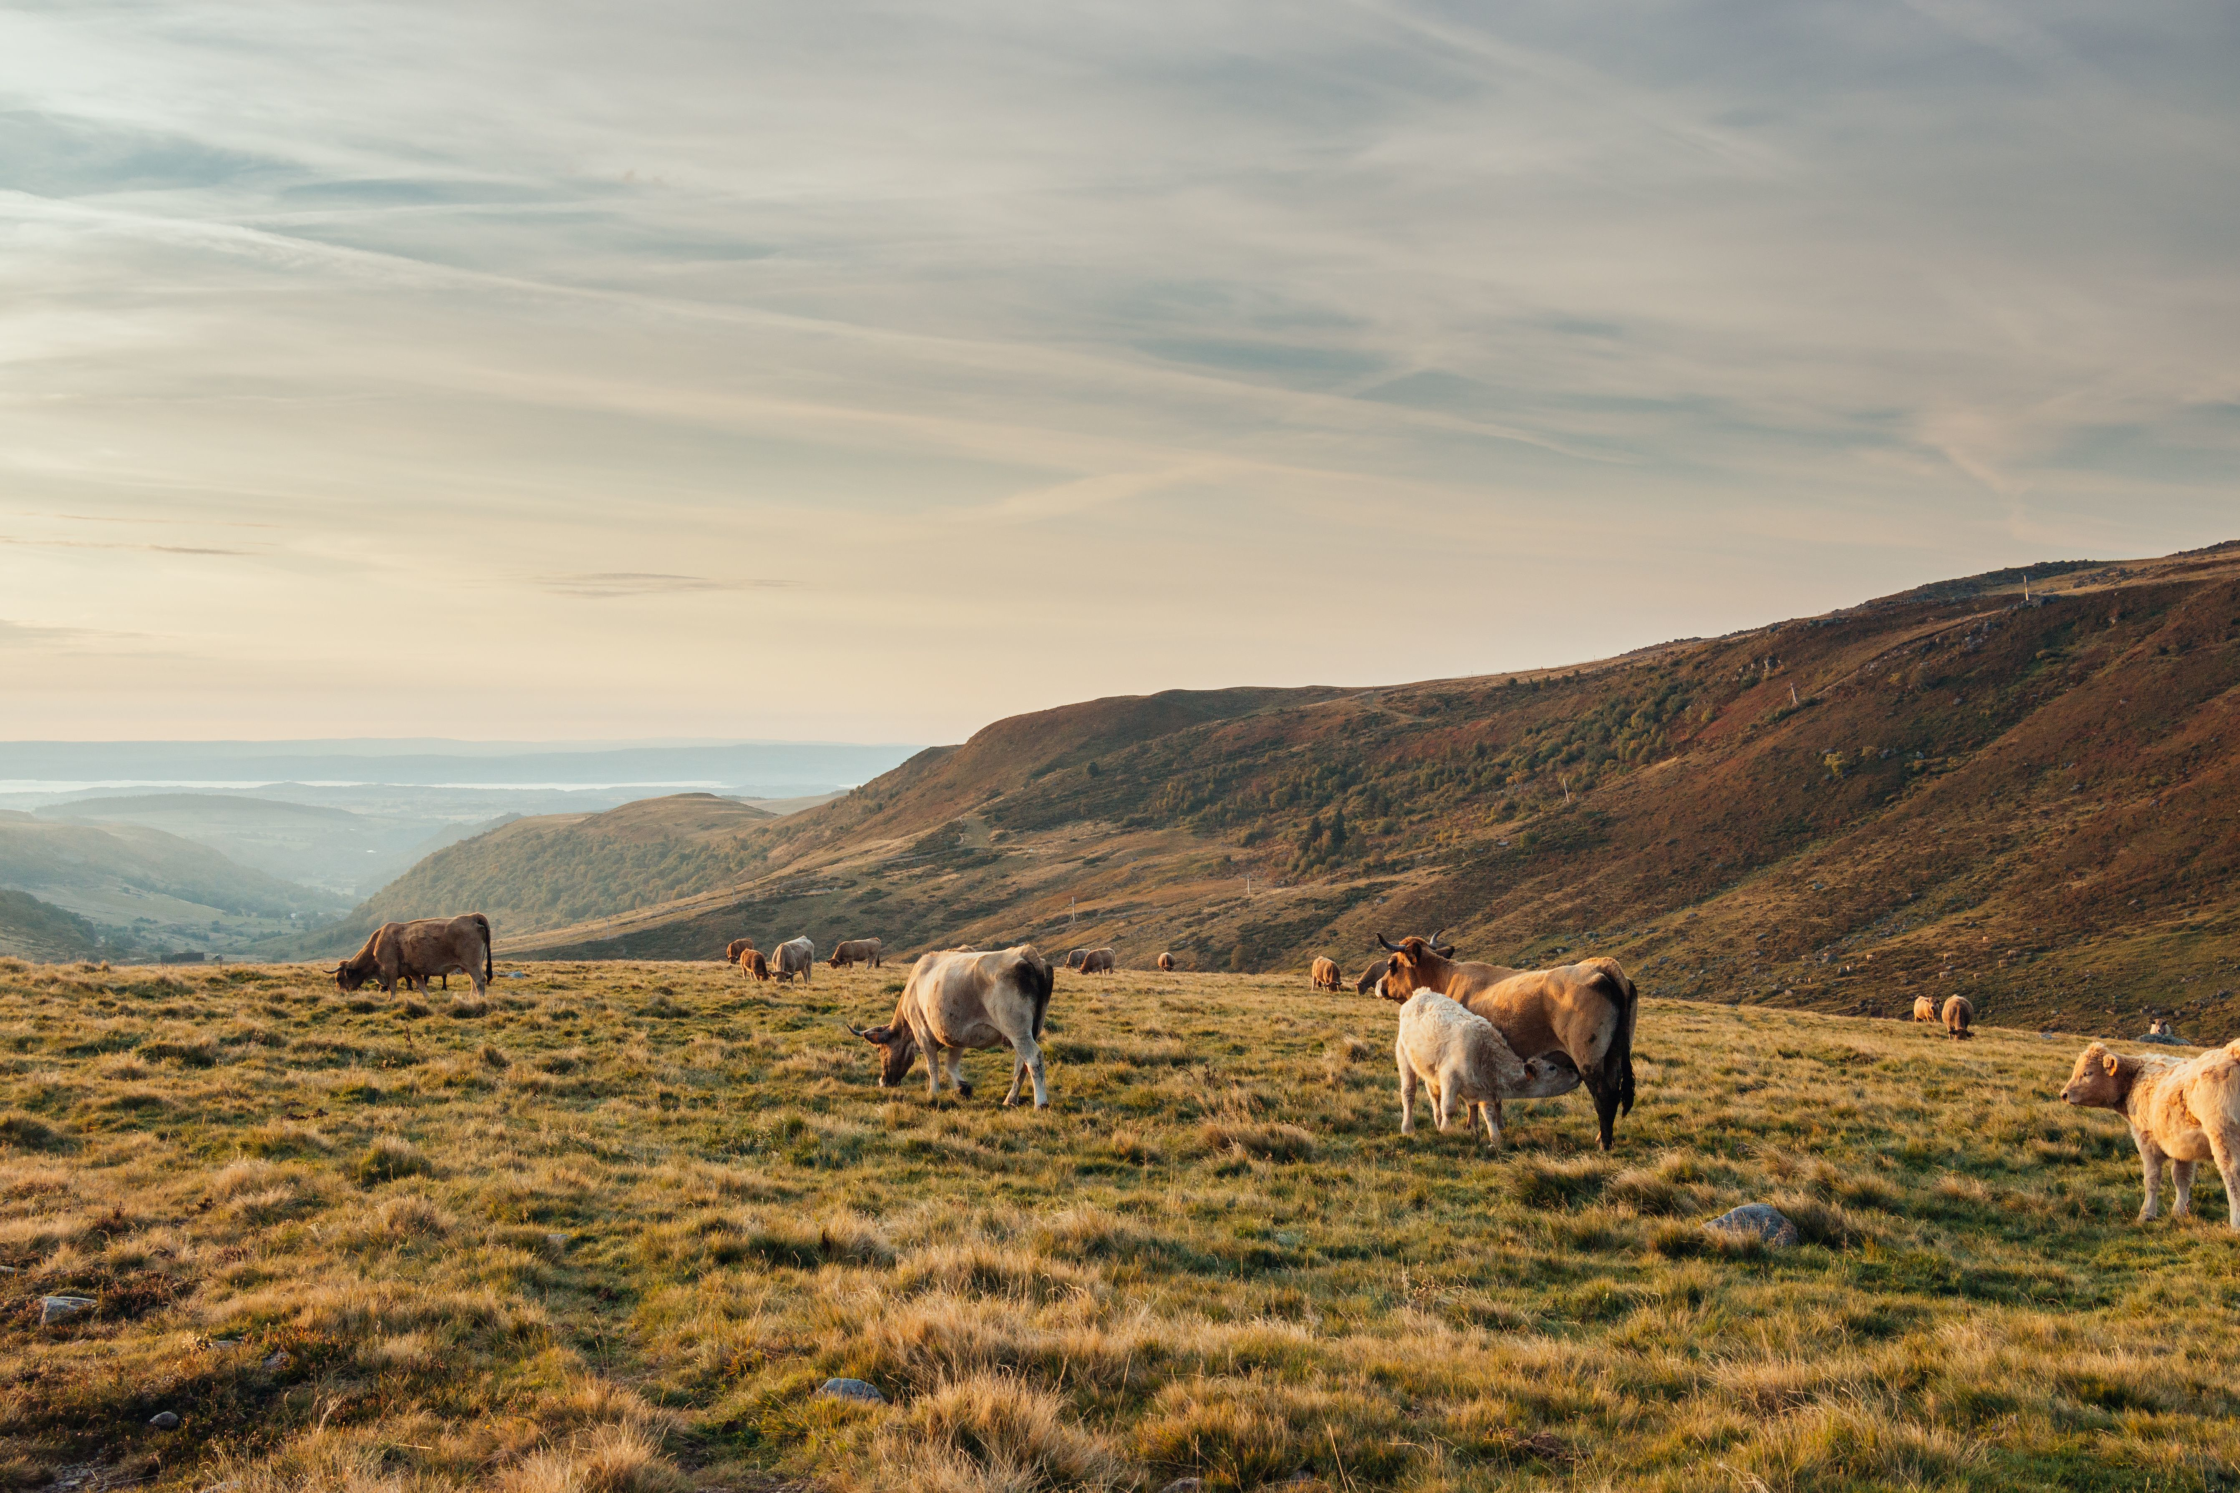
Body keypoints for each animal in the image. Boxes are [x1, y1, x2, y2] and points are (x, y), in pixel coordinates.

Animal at [333, 913, 492, 1002]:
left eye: (339, 978)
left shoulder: (390, 969)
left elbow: (392, 987)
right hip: (470, 964)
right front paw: (428, 998)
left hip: (472, 963)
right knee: (473, 981)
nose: (339, 993)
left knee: (479, 980)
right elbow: (421, 985)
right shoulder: (412, 971)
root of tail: (473, 917)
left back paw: (480, 999)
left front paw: (391, 1000)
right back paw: (472, 997)